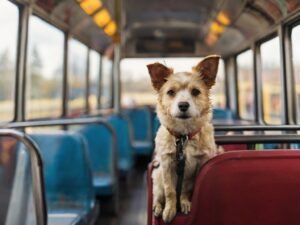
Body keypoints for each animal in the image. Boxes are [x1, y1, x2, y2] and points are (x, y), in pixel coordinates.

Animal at [148, 55, 220, 223]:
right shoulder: (166, 164)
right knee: (158, 196)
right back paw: (158, 207)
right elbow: (170, 191)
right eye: (171, 92)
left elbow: (187, 189)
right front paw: (170, 209)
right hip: (157, 177)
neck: (184, 136)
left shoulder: (200, 164)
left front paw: (184, 203)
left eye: (195, 91)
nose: (183, 105)